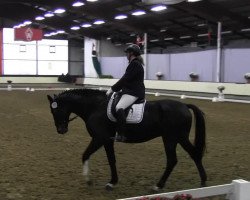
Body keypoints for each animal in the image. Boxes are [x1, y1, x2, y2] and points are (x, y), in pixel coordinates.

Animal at [47, 88, 207, 191]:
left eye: (55, 110)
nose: (61, 130)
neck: (95, 107)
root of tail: (184, 105)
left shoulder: (99, 138)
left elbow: (85, 155)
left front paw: (88, 180)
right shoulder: (107, 140)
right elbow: (111, 160)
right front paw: (112, 182)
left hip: (171, 138)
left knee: (173, 160)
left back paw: (158, 186)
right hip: (179, 137)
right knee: (194, 154)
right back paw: (203, 182)